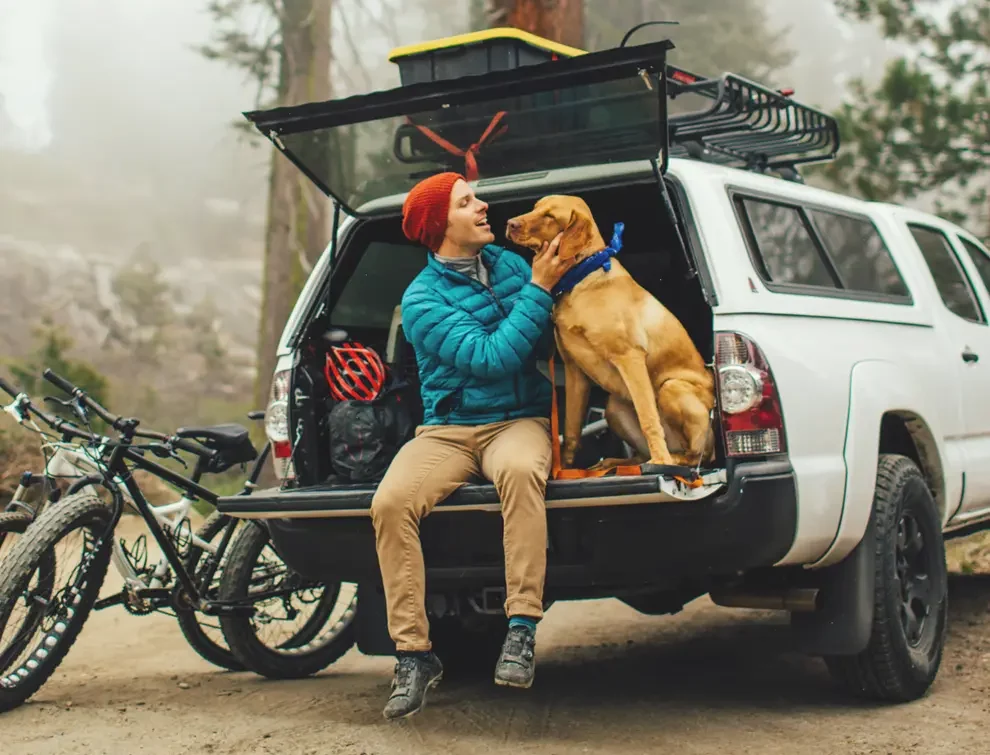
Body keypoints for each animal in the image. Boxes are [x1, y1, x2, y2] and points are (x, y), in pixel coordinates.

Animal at [508, 195, 716, 470]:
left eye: (550, 216)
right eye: (534, 208)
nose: (510, 223)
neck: (581, 277)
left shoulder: (629, 357)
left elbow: (649, 417)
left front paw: (660, 460)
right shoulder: (575, 371)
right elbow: (572, 429)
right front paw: (566, 470)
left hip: (672, 388)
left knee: (695, 456)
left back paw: (669, 459)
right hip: (614, 407)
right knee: (638, 454)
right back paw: (610, 465)